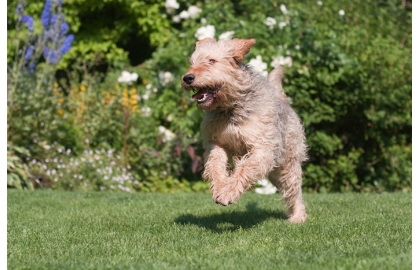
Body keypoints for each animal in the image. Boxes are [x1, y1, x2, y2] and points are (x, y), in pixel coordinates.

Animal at [181, 38, 308, 224]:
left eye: (211, 61)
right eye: (192, 62)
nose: (187, 77)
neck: (230, 109)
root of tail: (283, 101)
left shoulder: (262, 148)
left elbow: (244, 168)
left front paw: (227, 193)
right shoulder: (217, 143)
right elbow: (215, 165)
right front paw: (220, 187)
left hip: (288, 164)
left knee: (294, 190)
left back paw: (298, 216)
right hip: (275, 173)